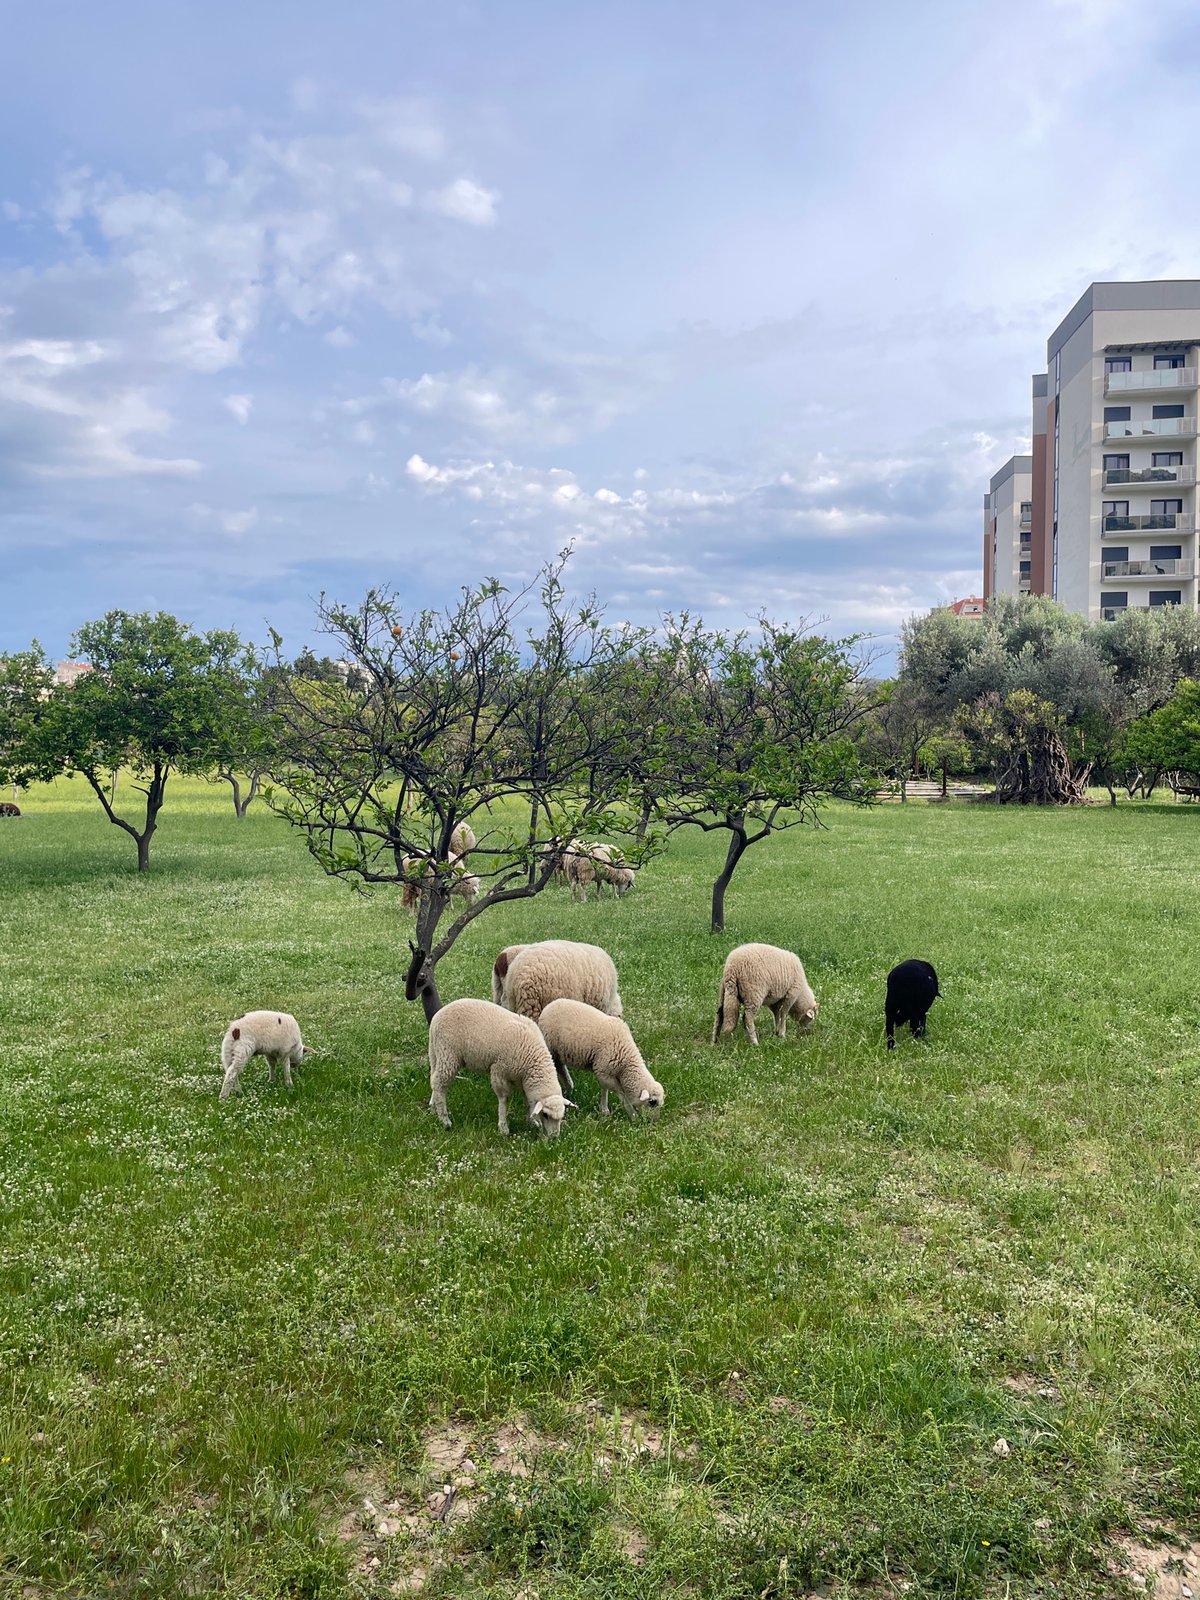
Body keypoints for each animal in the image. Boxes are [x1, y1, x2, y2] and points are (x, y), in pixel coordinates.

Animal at [427, 998, 571, 1137]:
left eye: (561, 1116)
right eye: (545, 1115)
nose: (554, 1137)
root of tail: (436, 1017)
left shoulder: (522, 1079)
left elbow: (527, 1101)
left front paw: (531, 1121)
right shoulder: (499, 1070)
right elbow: (503, 1099)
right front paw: (503, 1127)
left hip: (436, 1053)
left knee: (434, 1080)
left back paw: (433, 1107)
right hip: (449, 1055)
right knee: (439, 1085)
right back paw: (445, 1120)